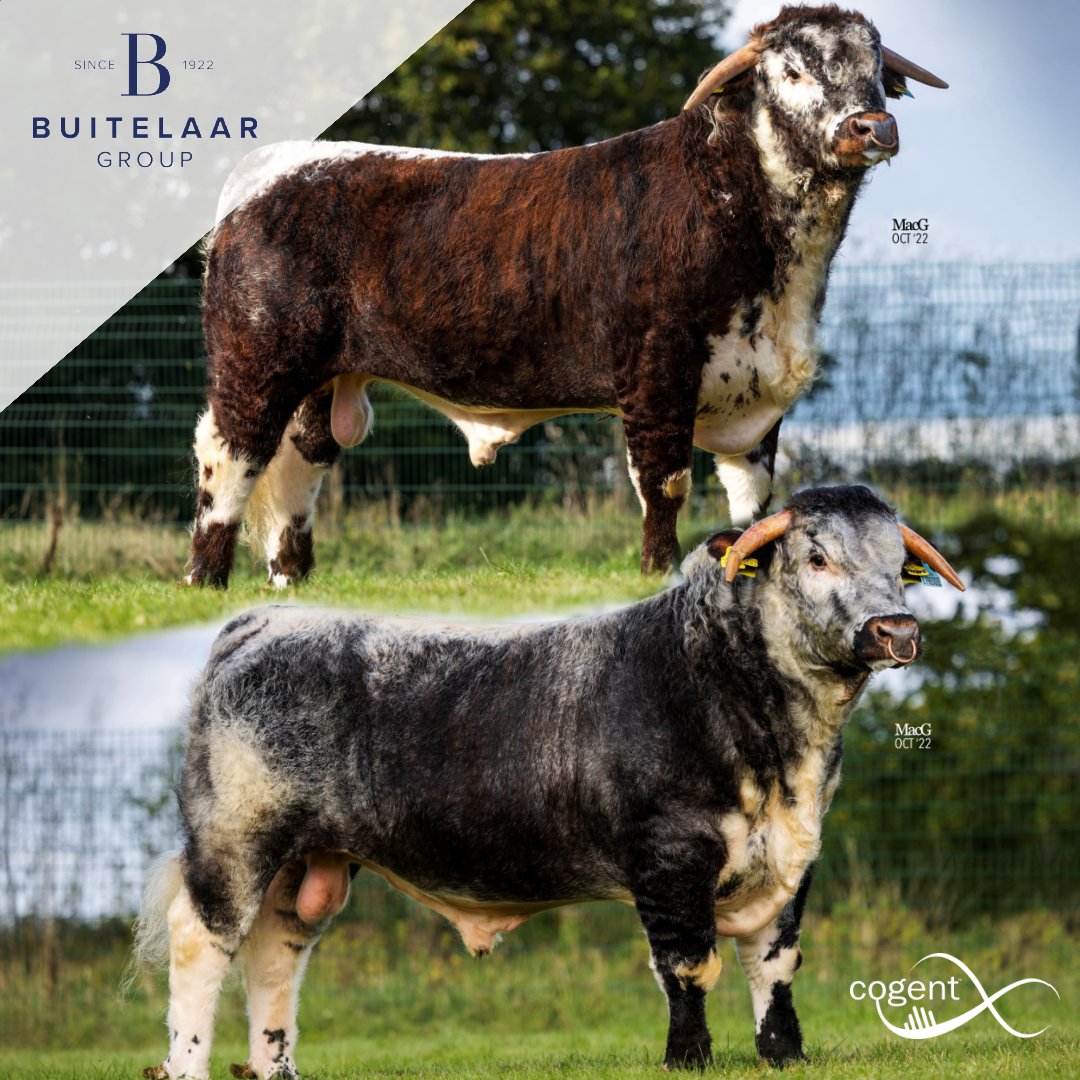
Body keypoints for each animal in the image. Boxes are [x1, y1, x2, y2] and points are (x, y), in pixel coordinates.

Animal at [137, 485, 965, 1078]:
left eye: (899, 567)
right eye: (817, 558)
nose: (896, 630)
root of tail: (264, 620)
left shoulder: (794, 856)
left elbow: (776, 963)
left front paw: (784, 1054)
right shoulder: (669, 855)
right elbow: (688, 965)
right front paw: (688, 1059)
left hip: (306, 863)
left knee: (276, 954)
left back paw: (275, 1068)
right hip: (234, 842)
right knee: (202, 943)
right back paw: (187, 1066)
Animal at [183, 5, 947, 587]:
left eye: (876, 74)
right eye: (792, 70)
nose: (872, 127)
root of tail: (269, 167)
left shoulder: (757, 397)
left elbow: (754, 502)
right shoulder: (655, 370)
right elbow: (665, 483)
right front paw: (656, 573)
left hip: (318, 382)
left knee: (297, 469)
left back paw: (291, 580)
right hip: (256, 361)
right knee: (229, 457)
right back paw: (206, 581)